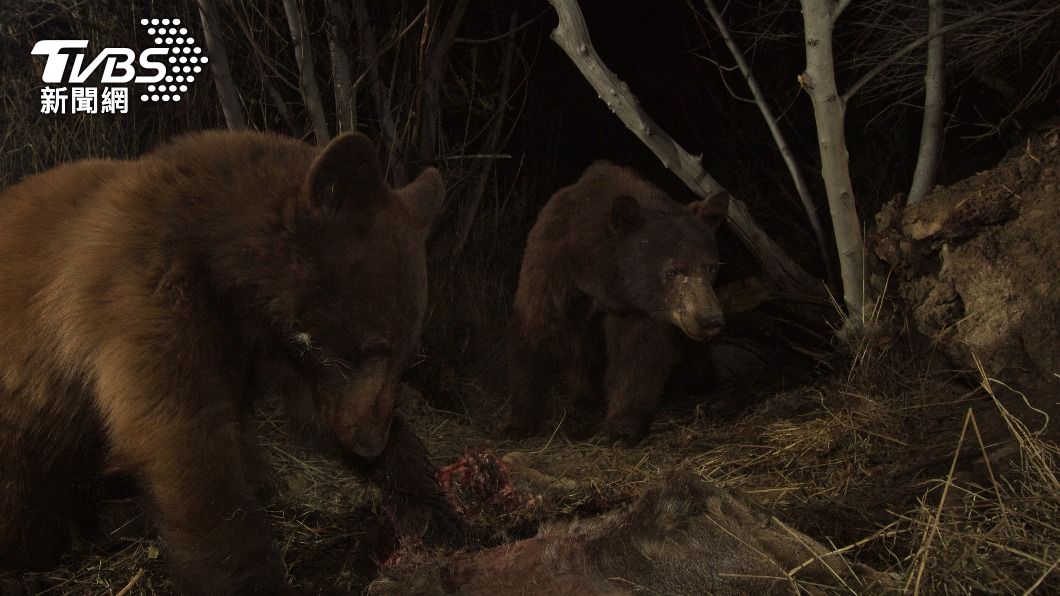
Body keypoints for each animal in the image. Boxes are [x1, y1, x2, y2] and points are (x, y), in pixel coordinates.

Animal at [0, 130, 452, 594]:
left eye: (407, 355)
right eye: (371, 346)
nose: (368, 443)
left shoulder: (272, 346)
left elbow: (311, 409)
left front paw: (431, 503)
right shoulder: (146, 295)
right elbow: (186, 442)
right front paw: (251, 575)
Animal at [503, 161, 729, 446]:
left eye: (711, 267)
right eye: (672, 271)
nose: (711, 320)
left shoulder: (638, 309)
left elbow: (637, 354)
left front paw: (620, 428)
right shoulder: (553, 268)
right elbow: (538, 329)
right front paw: (520, 422)